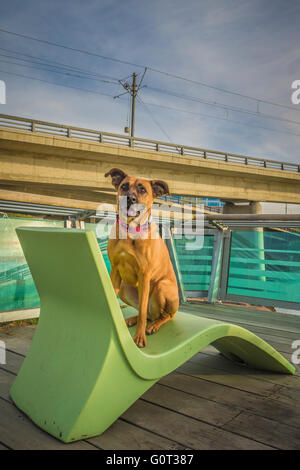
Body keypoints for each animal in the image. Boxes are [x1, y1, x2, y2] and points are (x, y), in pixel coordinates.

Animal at [104, 167, 178, 346]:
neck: (130, 230)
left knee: (163, 315)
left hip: (162, 287)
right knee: (149, 314)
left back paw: (154, 326)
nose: (130, 198)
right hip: (125, 287)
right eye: (124, 186)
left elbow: (144, 311)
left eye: (143, 190)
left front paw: (139, 337)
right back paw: (132, 319)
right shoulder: (115, 271)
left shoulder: (144, 275)